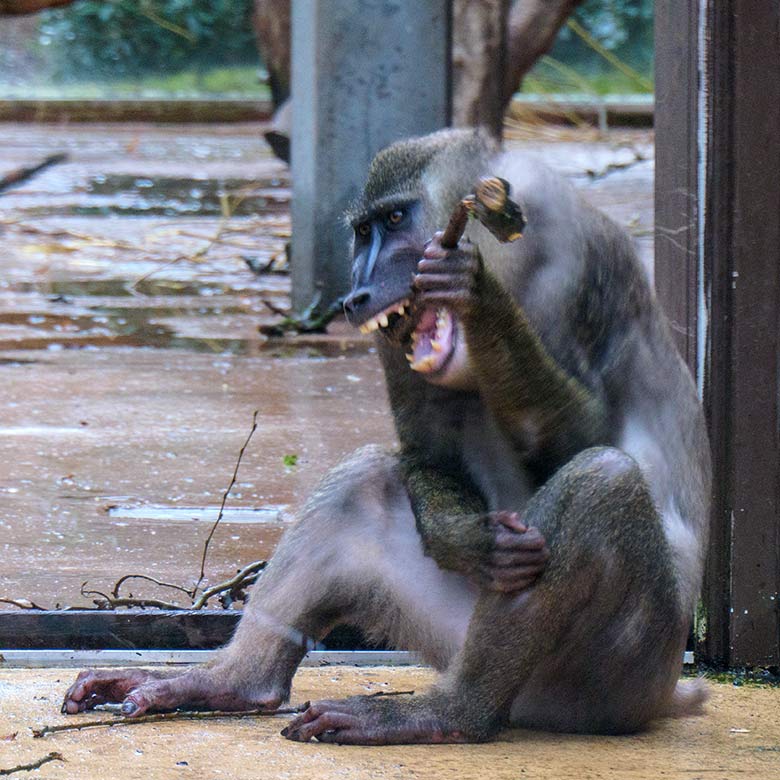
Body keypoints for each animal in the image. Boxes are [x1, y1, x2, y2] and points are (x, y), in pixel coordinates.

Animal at [64, 128, 712, 744]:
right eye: (362, 232)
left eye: (396, 220)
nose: (356, 292)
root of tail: (666, 694)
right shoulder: (390, 335)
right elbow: (428, 454)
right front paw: (470, 541)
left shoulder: (575, 257)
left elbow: (591, 434)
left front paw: (482, 298)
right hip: (459, 637)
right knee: (365, 479)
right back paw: (231, 681)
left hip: (618, 675)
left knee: (605, 477)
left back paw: (451, 714)